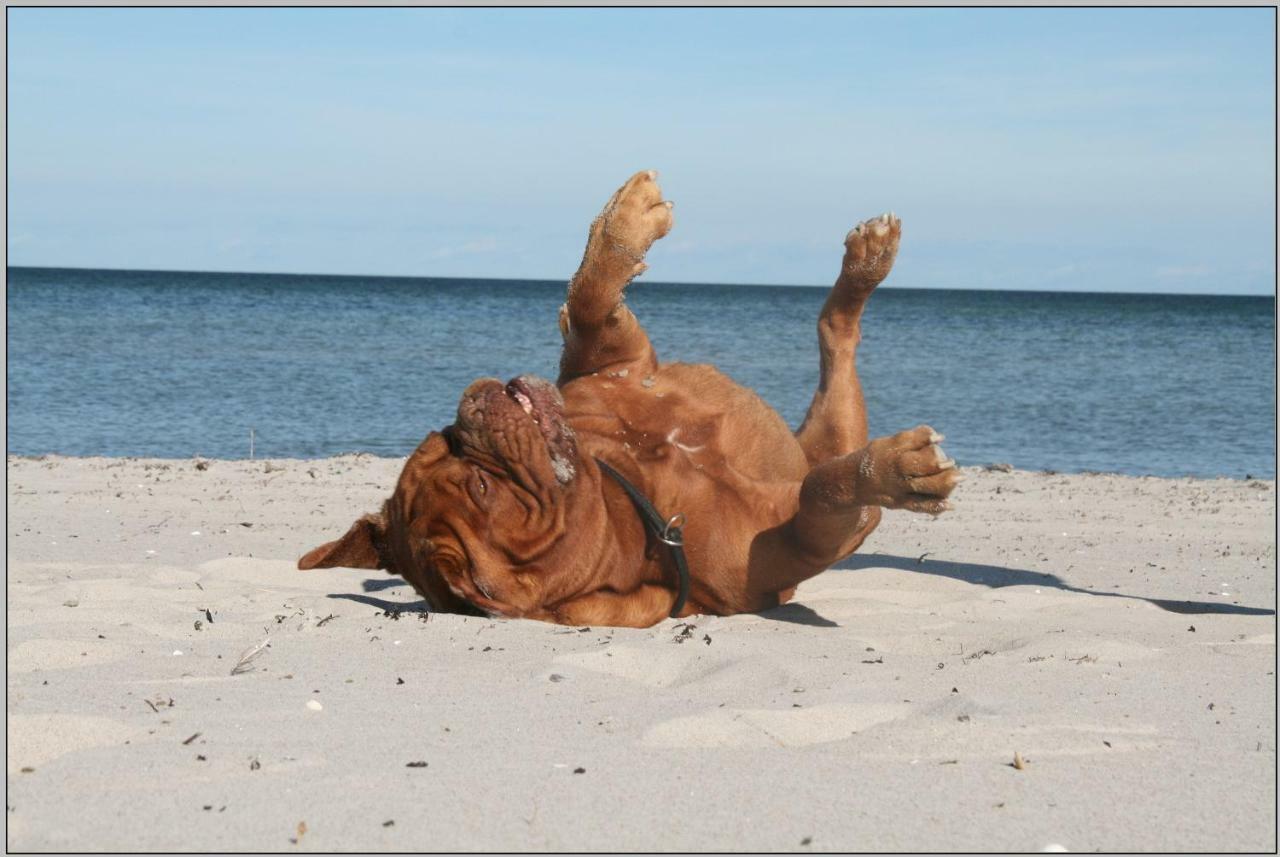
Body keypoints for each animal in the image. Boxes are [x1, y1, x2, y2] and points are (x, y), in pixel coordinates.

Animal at [299, 171, 962, 626]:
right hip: (833, 437)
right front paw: (900, 470)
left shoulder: (613, 360)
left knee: (835, 331)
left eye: (441, 442)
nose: (472, 412)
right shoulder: (799, 541)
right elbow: (820, 494)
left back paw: (866, 261)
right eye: (482, 489)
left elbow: (592, 297)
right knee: (830, 397)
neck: (636, 503)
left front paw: (622, 219)